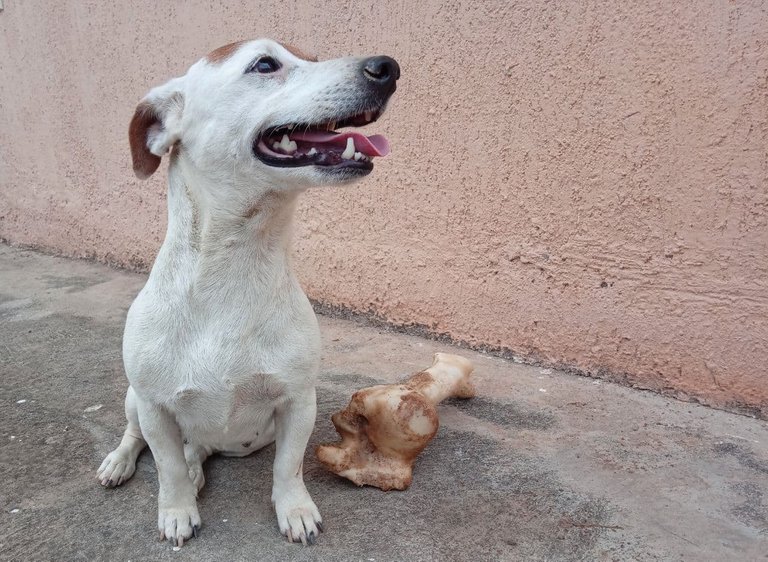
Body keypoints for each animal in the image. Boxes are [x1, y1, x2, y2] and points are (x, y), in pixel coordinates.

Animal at [94, 39, 402, 548]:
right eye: (264, 64)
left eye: (311, 56)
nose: (388, 67)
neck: (233, 269)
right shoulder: (155, 407)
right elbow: (167, 470)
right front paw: (176, 511)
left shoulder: (298, 402)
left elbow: (287, 467)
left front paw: (295, 511)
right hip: (134, 400)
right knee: (137, 437)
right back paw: (119, 463)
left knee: (195, 451)